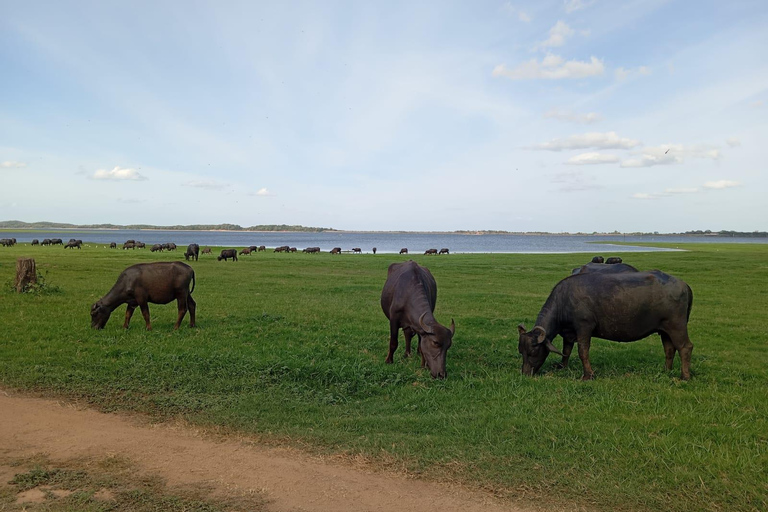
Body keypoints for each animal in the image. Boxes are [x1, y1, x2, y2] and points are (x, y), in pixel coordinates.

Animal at [516, 270, 696, 378]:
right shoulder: (569, 332)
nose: (525, 373)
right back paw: (666, 371)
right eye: (521, 352)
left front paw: (588, 375)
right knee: (669, 349)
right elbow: (566, 350)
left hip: (677, 326)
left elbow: (583, 351)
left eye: (532, 352)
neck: (564, 300)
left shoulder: (584, 327)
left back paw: (684, 376)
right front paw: (562, 366)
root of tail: (684, 285)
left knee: (685, 347)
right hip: (664, 329)